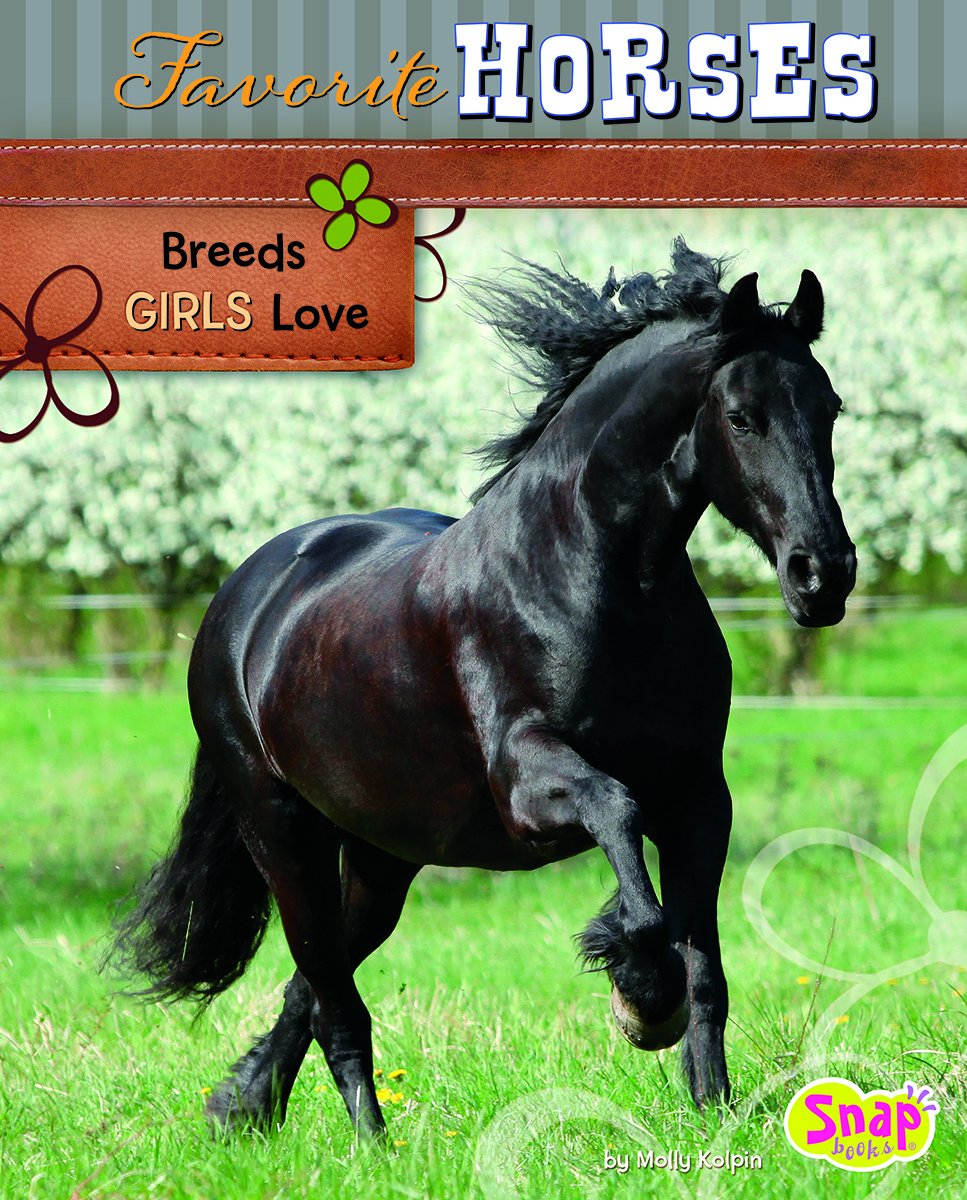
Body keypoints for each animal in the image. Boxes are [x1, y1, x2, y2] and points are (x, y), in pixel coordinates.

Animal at [111, 238, 856, 1140]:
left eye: (829, 409)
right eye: (743, 416)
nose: (823, 576)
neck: (599, 581)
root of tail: (242, 597)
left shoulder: (697, 801)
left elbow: (705, 970)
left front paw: (712, 1109)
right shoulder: (528, 787)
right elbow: (621, 828)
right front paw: (639, 999)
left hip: (383, 858)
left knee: (310, 987)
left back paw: (242, 1107)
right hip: (280, 832)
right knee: (335, 1003)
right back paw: (371, 1146)